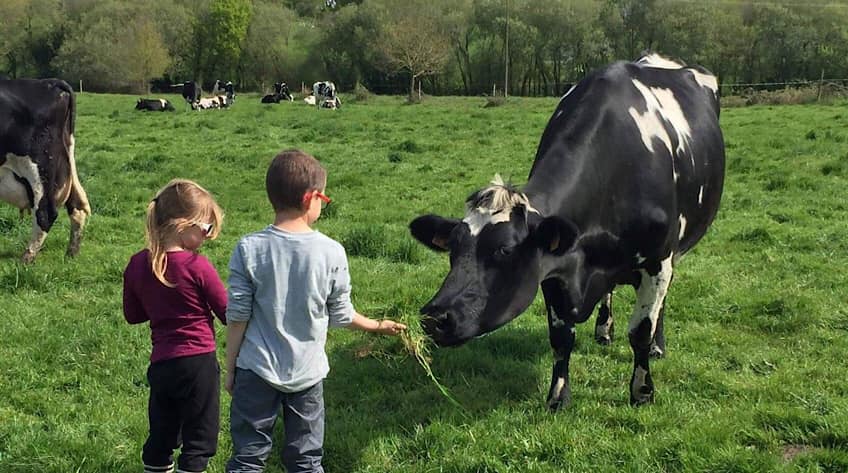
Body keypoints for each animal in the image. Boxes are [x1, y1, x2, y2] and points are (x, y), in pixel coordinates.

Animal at [0, 77, 92, 262]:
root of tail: (49, 82)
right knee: (77, 206)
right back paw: (71, 253)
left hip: (39, 165)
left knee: (45, 212)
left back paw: (26, 258)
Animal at [410, 53, 724, 408]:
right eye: (453, 248)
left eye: (504, 250)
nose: (435, 317)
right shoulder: (553, 270)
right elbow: (561, 338)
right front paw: (558, 396)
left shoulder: (657, 260)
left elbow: (640, 331)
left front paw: (642, 390)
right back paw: (604, 329)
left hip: (676, 249)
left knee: (662, 299)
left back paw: (658, 344)